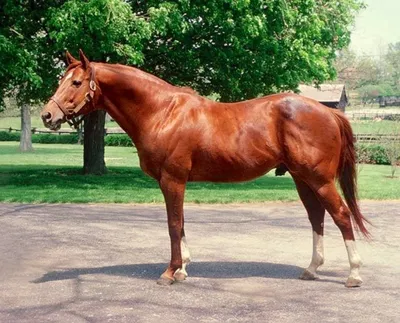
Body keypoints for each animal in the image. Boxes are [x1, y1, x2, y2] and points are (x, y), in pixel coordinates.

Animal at [40, 50, 368, 288]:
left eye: (76, 83)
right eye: (62, 79)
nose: (47, 115)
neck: (162, 112)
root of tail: (328, 112)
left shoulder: (172, 180)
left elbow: (173, 224)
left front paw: (170, 272)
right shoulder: (174, 181)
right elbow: (181, 222)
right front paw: (183, 269)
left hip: (319, 179)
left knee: (341, 215)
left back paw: (353, 274)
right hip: (302, 179)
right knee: (317, 217)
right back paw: (311, 269)